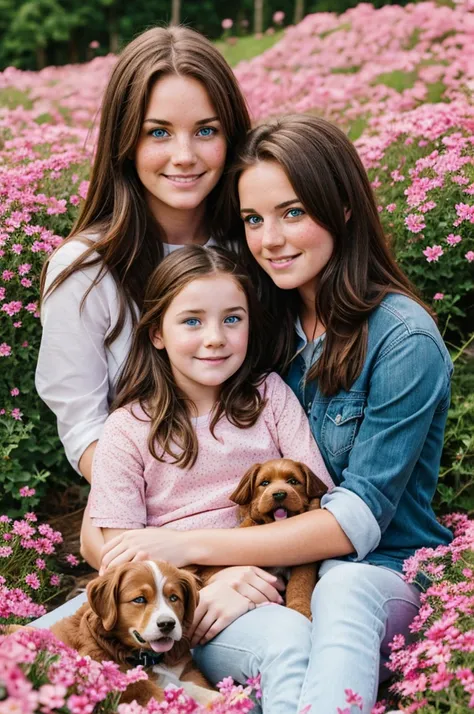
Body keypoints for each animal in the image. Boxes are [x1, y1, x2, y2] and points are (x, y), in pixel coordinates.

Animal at [231, 456, 330, 616]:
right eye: (264, 483)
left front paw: (299, 608)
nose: (279, 494)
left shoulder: (305, 562)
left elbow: (299, 583)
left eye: (293, 481)